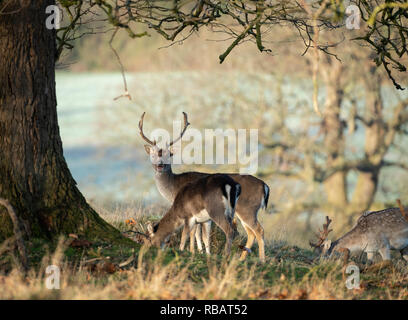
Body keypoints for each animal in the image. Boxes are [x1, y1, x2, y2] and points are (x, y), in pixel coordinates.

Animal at [139, 111, 270, 262]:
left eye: (168, 155)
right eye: (153, 154)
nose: (160, 165)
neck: (173, 188)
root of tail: (265, 186)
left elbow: (194, 233)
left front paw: (193, 252)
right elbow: (201, 234)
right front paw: (202, 252)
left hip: (247, 209)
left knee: (258, 230)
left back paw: (261, 259)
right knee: (251, 233)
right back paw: (242, 258)